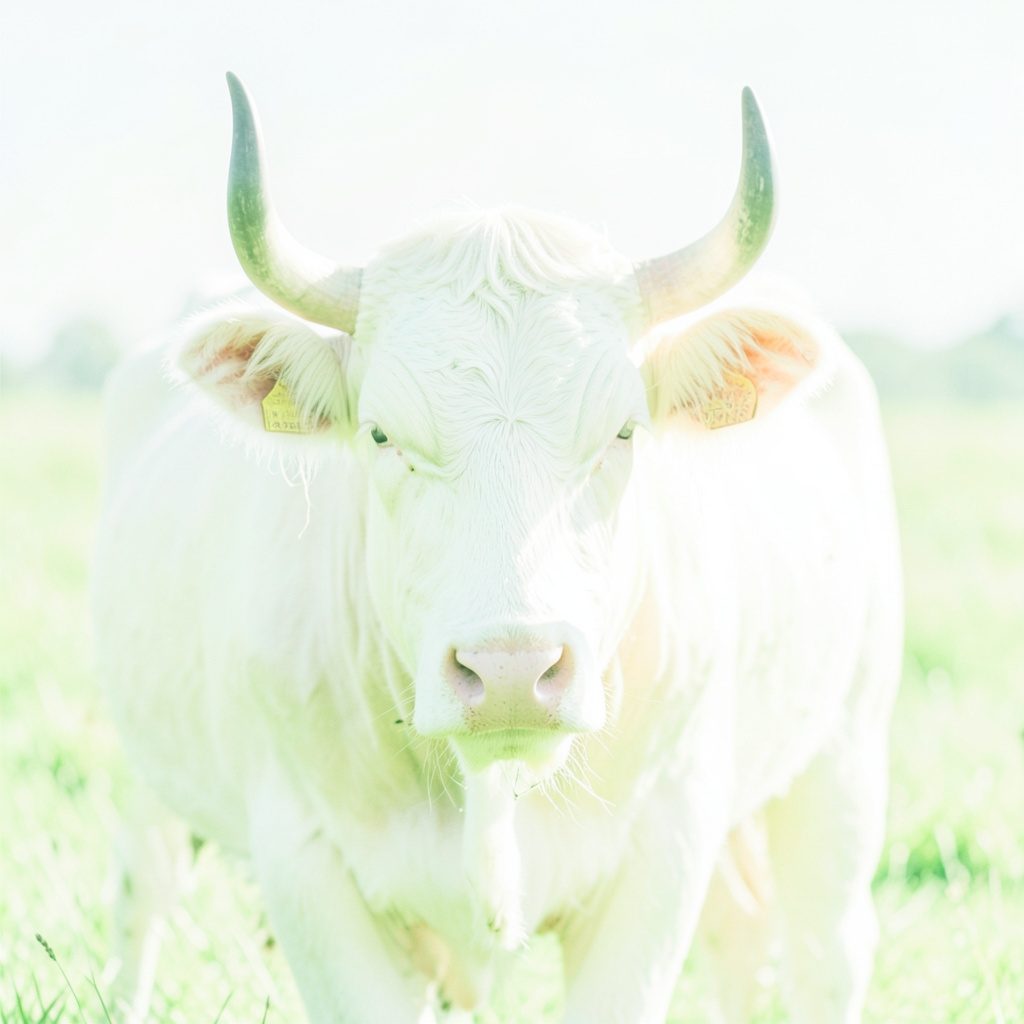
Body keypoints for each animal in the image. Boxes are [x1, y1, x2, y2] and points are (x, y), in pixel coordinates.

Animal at [93, 72, 902, 1024]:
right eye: (381, 435)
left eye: (622, 430)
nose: (513, 669)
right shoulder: (305, 860)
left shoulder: (663, 847)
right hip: (141, 770)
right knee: (142, 897)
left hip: (844, 750)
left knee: (818, 946)